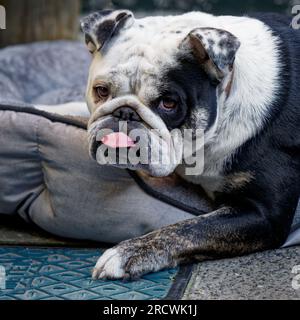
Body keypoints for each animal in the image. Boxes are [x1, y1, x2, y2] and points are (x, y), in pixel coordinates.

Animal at [79, 10, 300, 280]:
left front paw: (126, 252)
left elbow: (189, 229)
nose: (125, 113)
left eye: (168, 103)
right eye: (101, 90)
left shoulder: (264, 213)